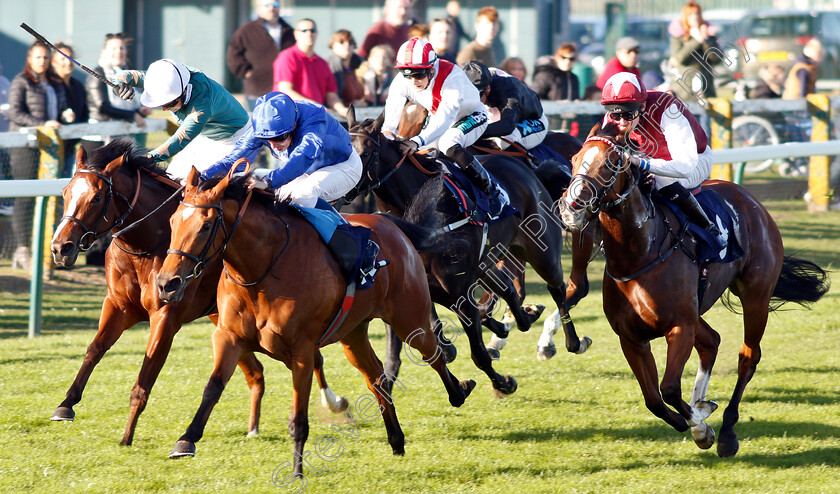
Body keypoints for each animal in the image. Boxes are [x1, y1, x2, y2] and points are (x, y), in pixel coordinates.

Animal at [49, 137, 348, 446]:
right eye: (65, 192)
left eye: (97, 197)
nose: (60, 248)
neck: (146, 246)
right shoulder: (117, 305)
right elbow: (95, 349)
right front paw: (65, 405)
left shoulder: (165, 316)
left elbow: (144, 378)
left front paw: (127, 436)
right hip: (223, 318)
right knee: (258, 372)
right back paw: (254, 426)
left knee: (312, 358)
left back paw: (336, 404)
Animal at [157, 165, 472, 470]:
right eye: (172, 221)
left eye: (206, 225)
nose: (166, 283)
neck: (262, 270)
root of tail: (391, 224)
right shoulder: (229, 337)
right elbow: (212, 388)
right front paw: (185, 441)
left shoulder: (302, 349)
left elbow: (298, 416)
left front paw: (297, 471)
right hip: (353, 334)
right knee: (377, 377)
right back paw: (396, 439)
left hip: (409, 319)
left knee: (434, 354)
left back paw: (459, 391)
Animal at [344, 109, 588, 398]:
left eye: (367, 151)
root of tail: (527, 168)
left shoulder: (457, 290)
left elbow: (476, 350)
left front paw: (500, 381)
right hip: (488, 261)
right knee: (509, 289)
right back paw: (521, 318)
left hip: (541, 250)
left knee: (559, 288)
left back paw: (569, 341)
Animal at [556, 122, 828, 456]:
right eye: (574, 159)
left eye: (610, 163)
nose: (571, 208)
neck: (639, 255)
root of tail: (751, 200)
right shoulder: (632, 338)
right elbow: (654, 399)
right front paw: (694, 418)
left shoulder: (680, 327)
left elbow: (670, 389)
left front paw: (702, 426)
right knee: (712, 341)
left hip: (756, 297)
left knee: (748, 356)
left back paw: (726, 432)